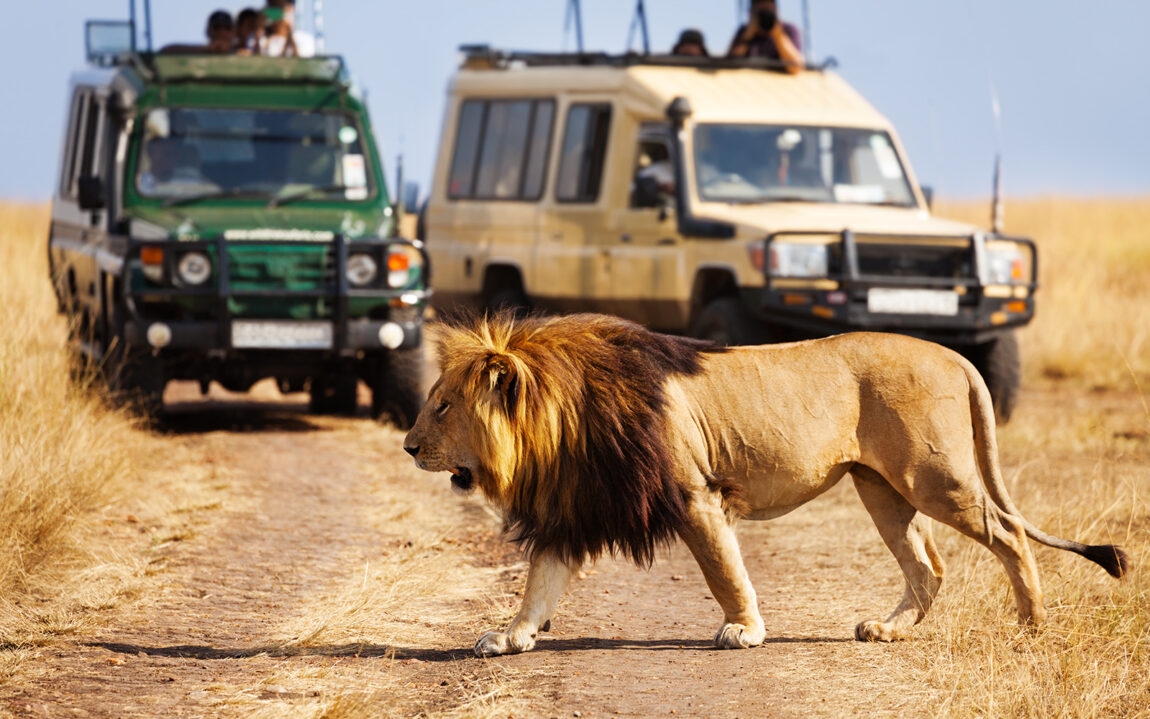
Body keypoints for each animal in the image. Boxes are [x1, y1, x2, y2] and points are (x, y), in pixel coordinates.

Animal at [402, 310, 1122, 653]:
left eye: (442, 406)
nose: (408, 447)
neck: (562, 422)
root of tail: (953, 354)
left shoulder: (694, 494)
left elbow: (725, 570)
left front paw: (744, 630)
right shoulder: (575, 509)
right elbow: (539, 583)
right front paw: (510, 636)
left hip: (932, 475)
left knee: (1008, 533)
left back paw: (1030, 624)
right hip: (880, 487)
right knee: (928, 566)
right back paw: (887, 630)